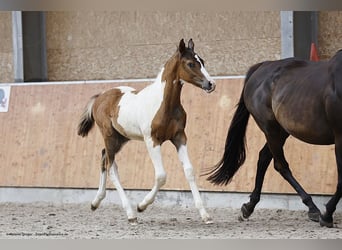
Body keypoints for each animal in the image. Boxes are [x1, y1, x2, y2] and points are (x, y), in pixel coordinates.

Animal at [79, 39, 215, 225]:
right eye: (190, 63)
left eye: (203, 61)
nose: (211, 84)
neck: (164, 104)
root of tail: (100, 97)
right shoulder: (152, 140)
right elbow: (161, 175)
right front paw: (142, 206)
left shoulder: (179, 137)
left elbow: (189, 171)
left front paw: (205, 215)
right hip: (109, 136)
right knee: (111, 167)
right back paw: (131, 214)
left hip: (121, 138)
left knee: (104, 157)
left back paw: (95, 202)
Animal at [206, 49, 342, 228]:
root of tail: (262, 67)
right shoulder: (340, 137)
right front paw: (327, 216)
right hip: (272, 130)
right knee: (280, 165)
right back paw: (312, 208)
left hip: (280, 132)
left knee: (263, 158)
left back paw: (248, 207)